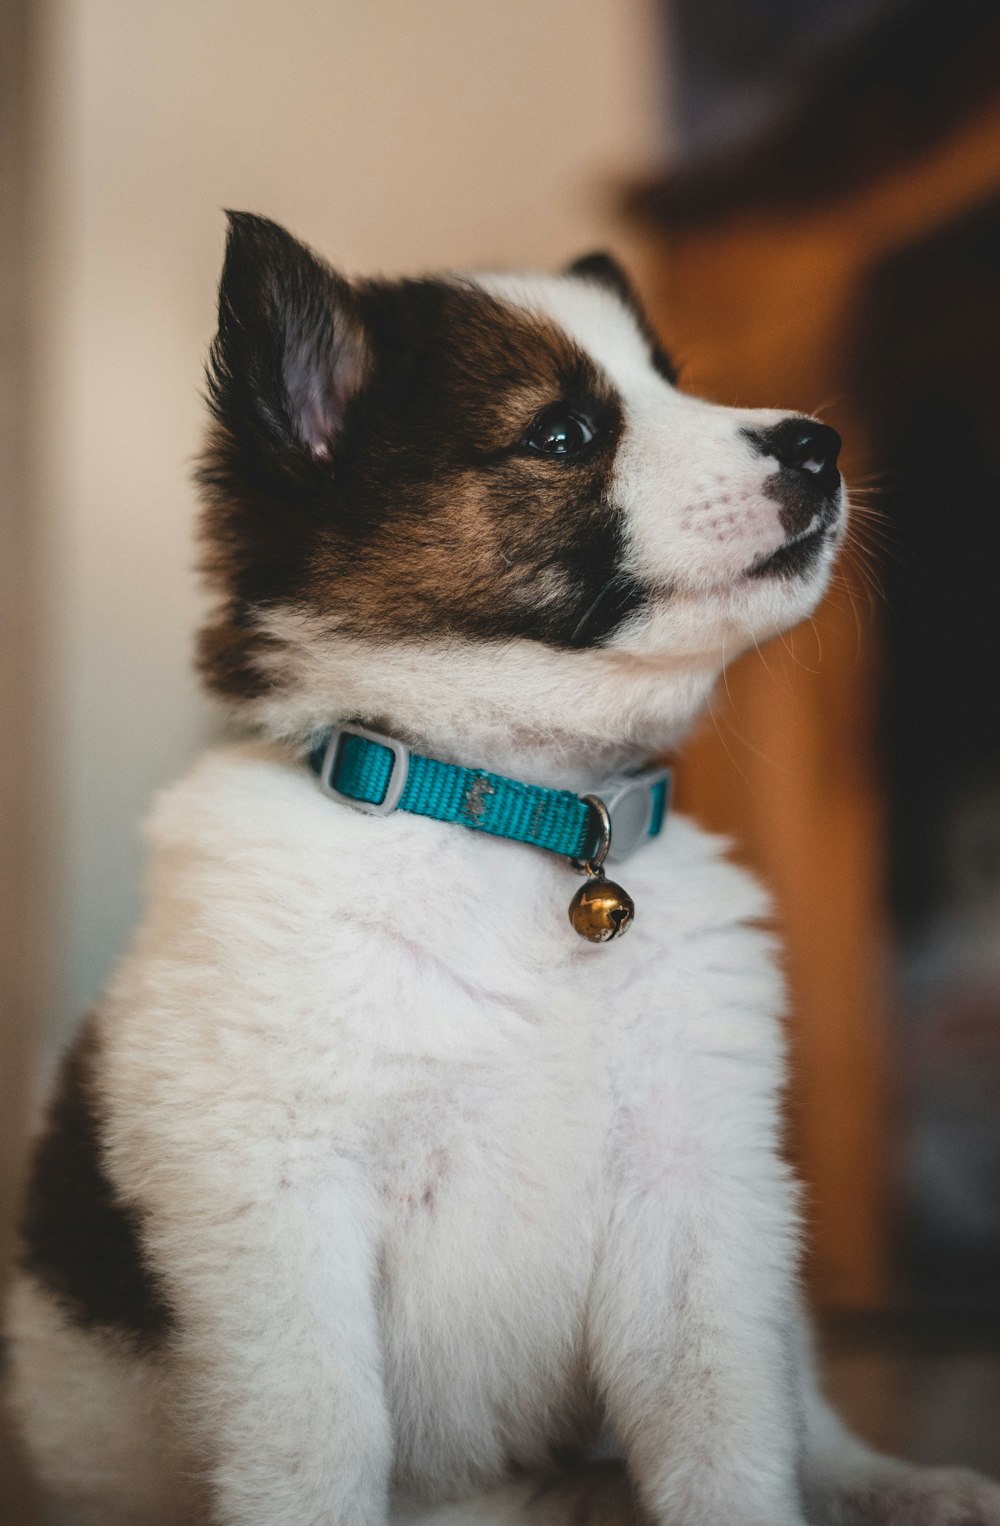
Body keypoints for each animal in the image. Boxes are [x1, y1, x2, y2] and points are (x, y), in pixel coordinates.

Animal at [7, 215, 1000, 1526]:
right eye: (563, 434)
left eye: (672, 381)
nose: (818, 443)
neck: (515, 815)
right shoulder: (279, 1213)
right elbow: (316, 1446)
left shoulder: (699, 1189)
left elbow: (727, 1433)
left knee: (809, 1409)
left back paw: (899, 1482)